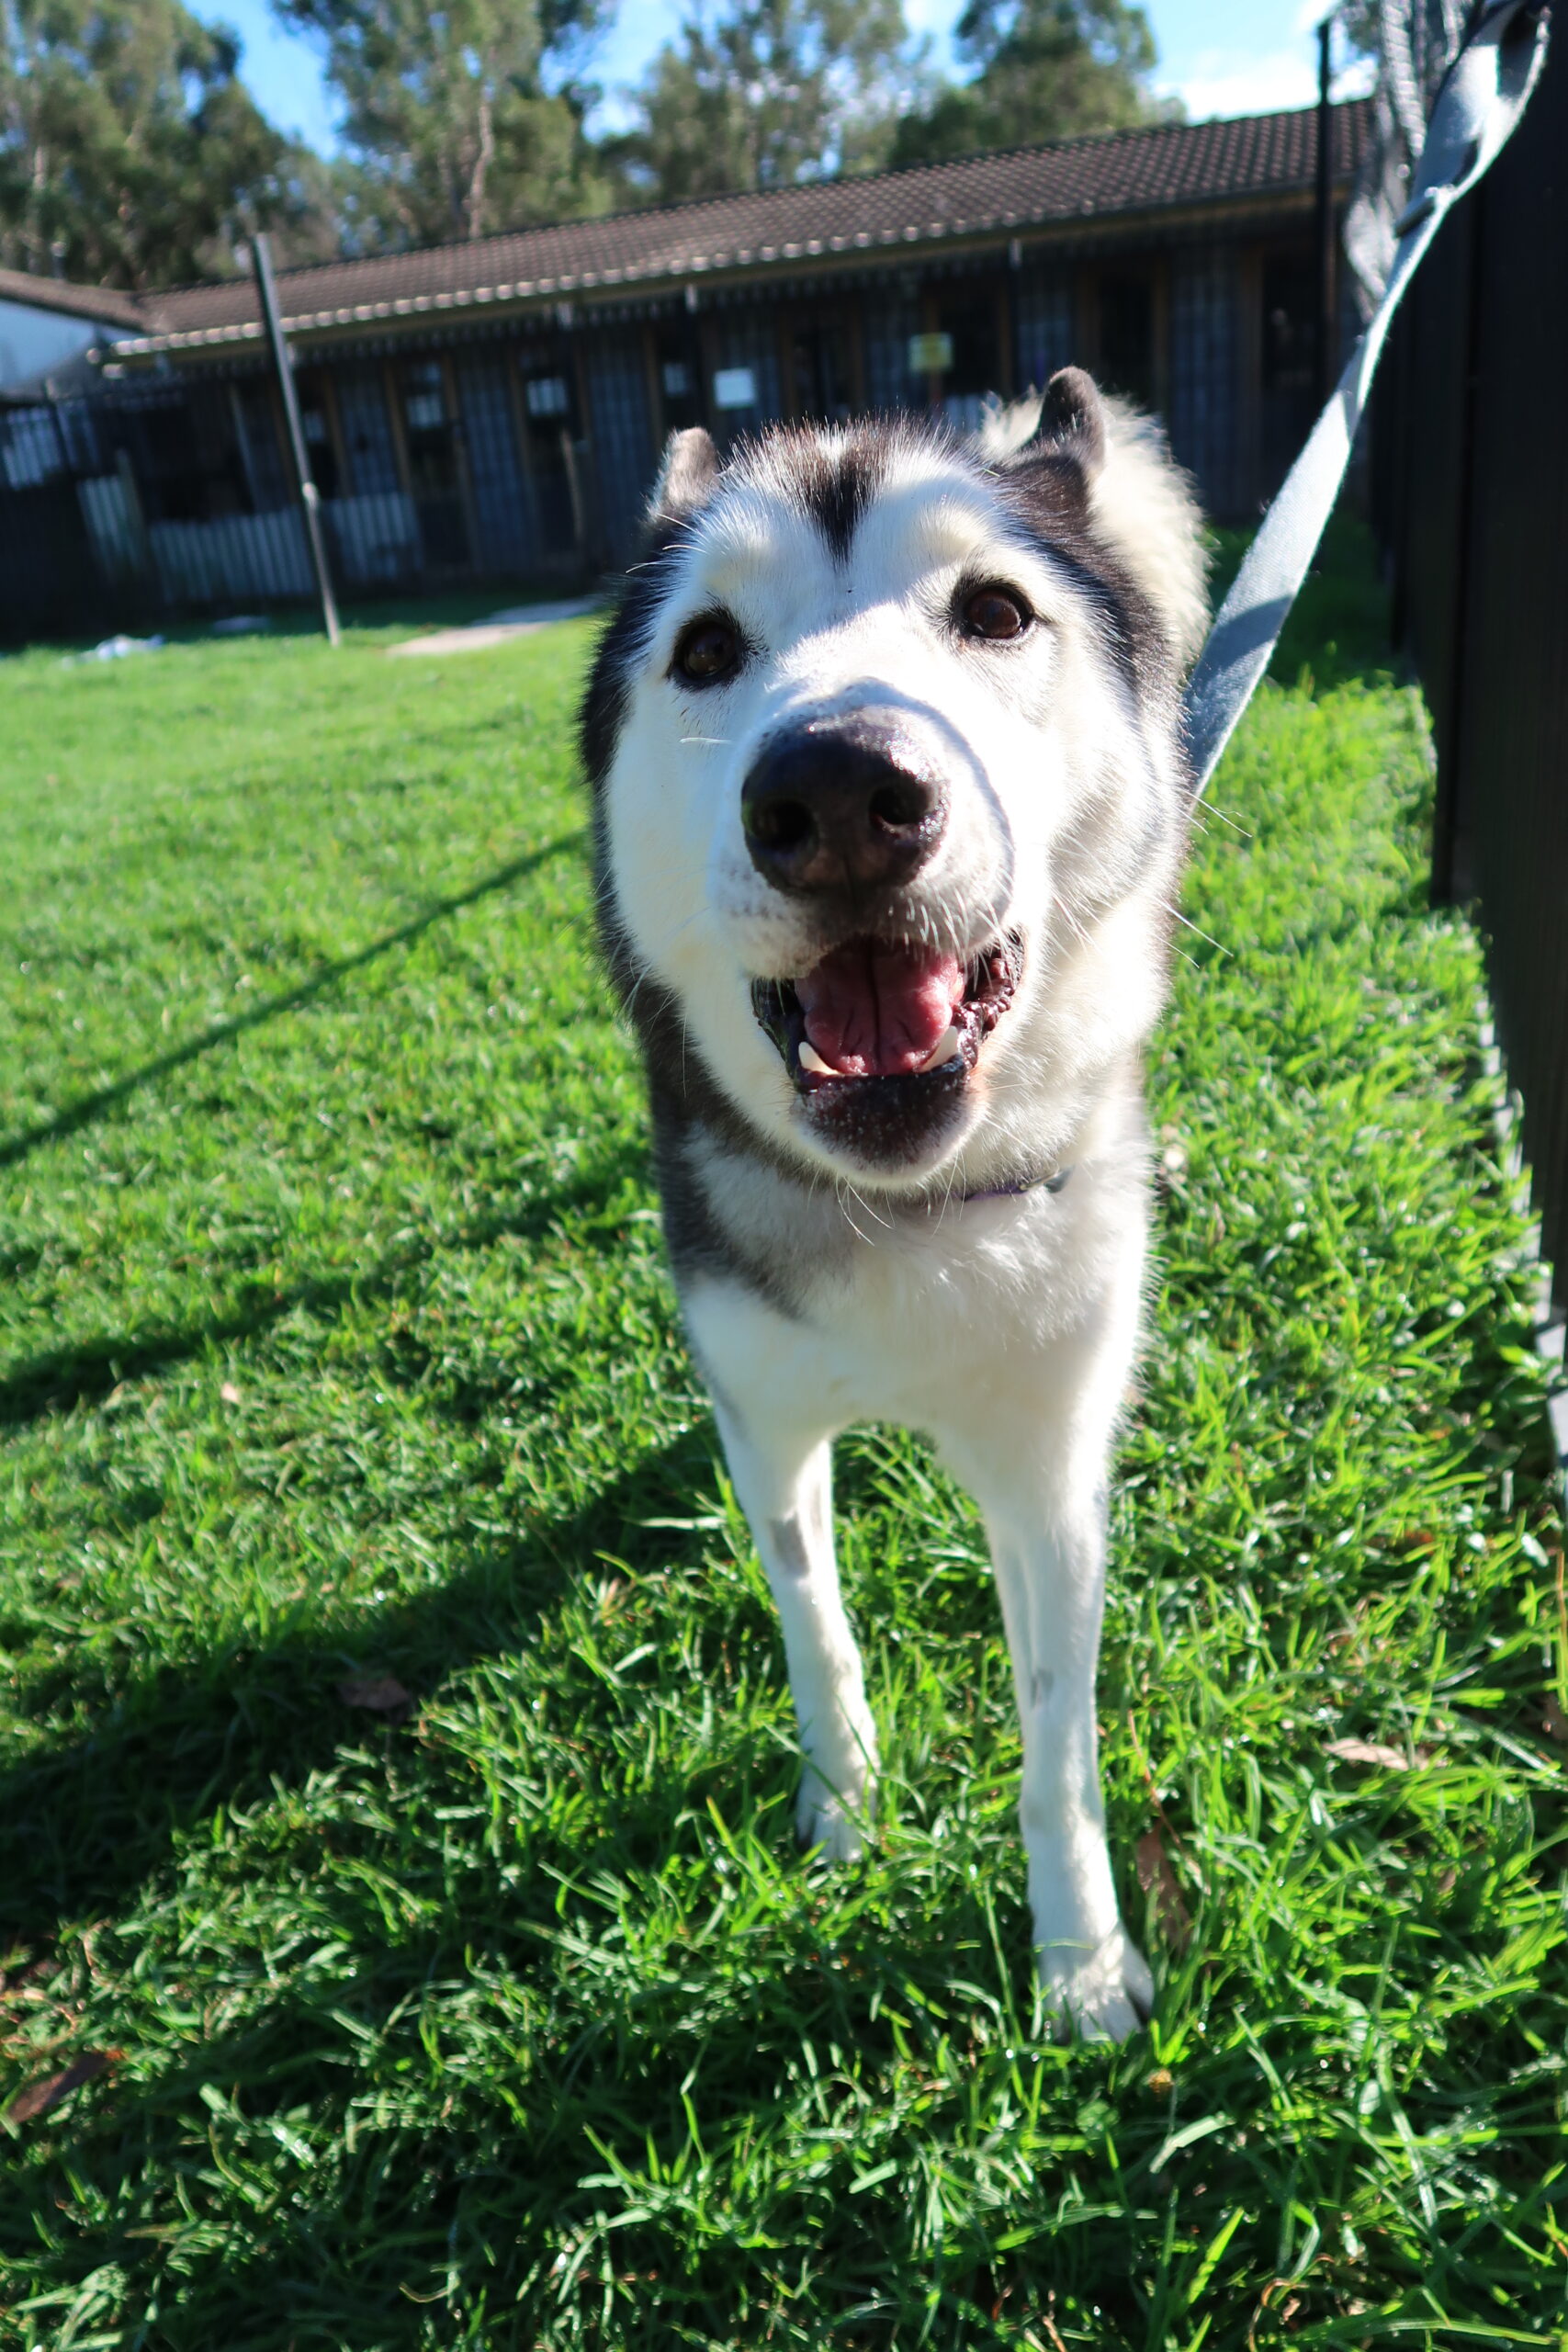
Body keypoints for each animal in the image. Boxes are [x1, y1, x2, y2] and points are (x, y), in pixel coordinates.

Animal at [580, 369, 1207, 2039]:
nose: (841, 789)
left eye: (993, 611)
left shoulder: (1052, 1469)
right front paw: (845, 1811)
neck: (908, 1210)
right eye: (705, 649)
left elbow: (1056, 1746)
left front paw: (1078, 1963)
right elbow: (814, 1630)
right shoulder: (762, 1419)